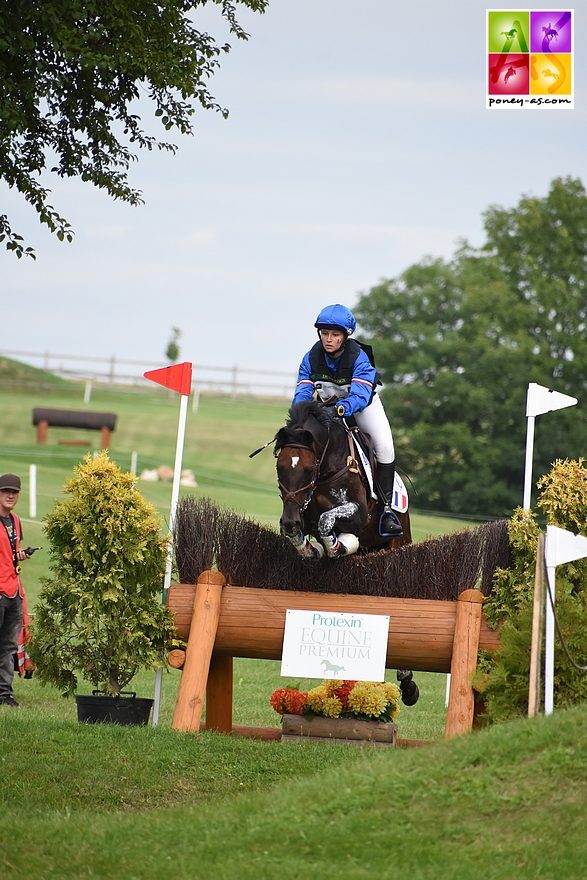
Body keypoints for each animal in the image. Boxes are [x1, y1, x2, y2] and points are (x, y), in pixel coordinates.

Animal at [276, 400, 412, 560]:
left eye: (309, 469)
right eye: (279, 467)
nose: (289, 523)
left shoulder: (360, 516)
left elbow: (325, 519)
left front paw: (337, 547)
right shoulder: (300, 512)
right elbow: (300, 534)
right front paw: (312, 549)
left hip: (400, 539)